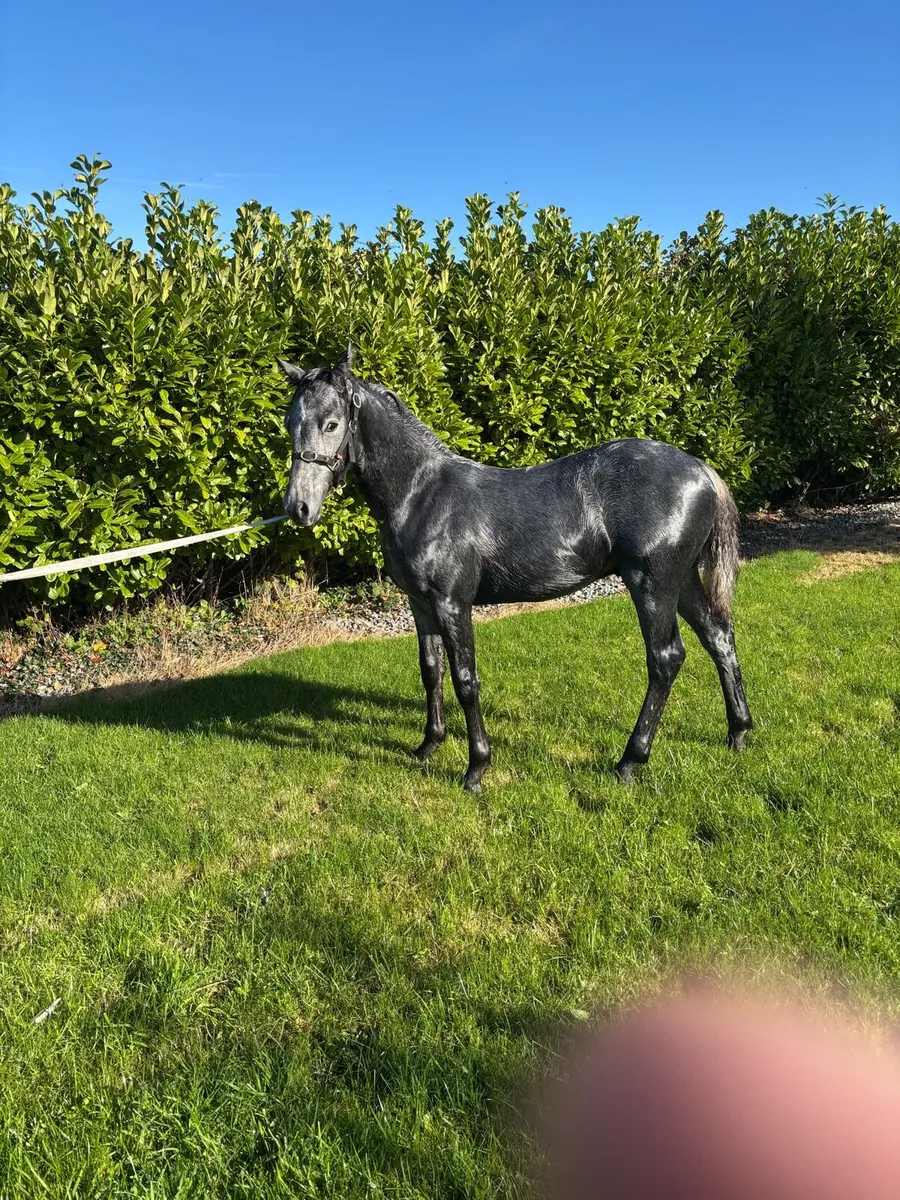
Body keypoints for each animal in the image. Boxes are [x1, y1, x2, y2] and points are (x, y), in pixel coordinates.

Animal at [278, 347, 753, 791]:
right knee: (718, 637)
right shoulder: (420, 603)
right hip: (682, 581)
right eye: (289, 422)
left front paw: (476, 768)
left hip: (652, 585)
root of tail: (703, 470)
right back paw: (738, 733)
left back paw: (630, 761)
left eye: (331, 424)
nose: (299, 508)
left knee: (666, 658)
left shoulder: (452, 604)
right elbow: (430, 670)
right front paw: (428, 745)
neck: (422, 493)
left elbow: (465, 680)